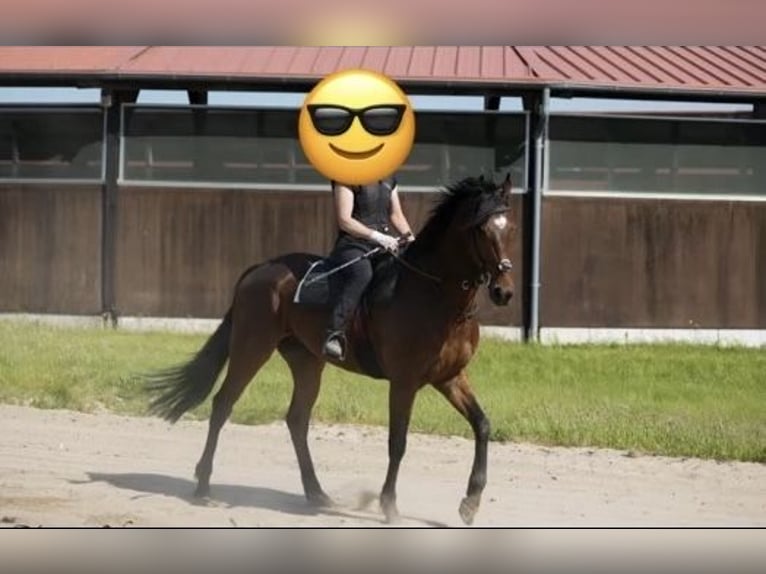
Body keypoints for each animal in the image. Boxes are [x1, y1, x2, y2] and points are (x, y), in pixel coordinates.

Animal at [146, 174, 516, 528]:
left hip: (306, 361)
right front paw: (389, 507)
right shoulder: (404, 382)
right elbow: (398, 442)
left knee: (296, 419)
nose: (504, 292)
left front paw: (470, 504)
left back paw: (317, 493)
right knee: (223, 404)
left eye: (510, 228)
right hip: (252, 347)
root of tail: (260, 269)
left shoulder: (450, 377)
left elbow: (482, 425)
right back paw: (203, 486)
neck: (435, 294)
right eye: (481, 230)